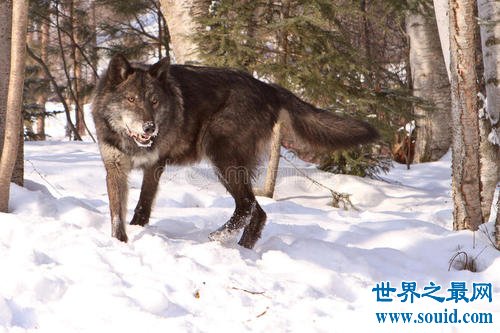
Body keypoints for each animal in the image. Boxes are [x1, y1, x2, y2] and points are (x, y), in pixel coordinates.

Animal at [92, 53, 376, 246]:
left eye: (154, 101)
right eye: (131, 99)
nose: (150, 128)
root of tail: (267, 87)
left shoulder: (154, 166)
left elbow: (143, 204)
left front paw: (135, 231)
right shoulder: (115, 168)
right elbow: (117, 211)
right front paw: (120, 241)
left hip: (222, 158)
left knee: (249, 207)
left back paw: (219, 237)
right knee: (258, 212)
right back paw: (243, 249)